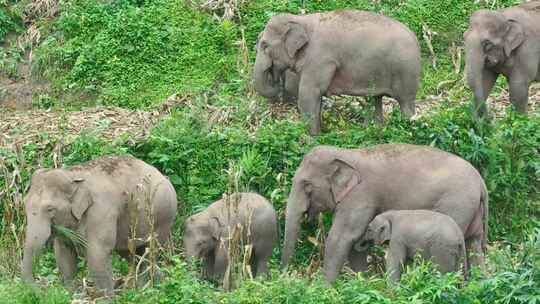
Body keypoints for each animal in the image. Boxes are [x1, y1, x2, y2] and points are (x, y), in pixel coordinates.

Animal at [21, 156, 177, 296]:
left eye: (50, 209)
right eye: (25, 204)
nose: (40, 291)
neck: (72, 175)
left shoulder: (101, 212)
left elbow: (97, 253)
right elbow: (63, 253)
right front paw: (69, 295)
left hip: (163, 215)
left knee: (150, 251)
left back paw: (147, 291)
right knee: (134, 254)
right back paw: (153, 285)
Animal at [253, 9, 422, 134]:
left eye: (265, 45)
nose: (274, 76)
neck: (301, 19)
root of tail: (416, 38)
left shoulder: (320, 58)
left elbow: (309, 93)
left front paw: (311, 139)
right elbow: (316, 98)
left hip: (406, 71)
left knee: (406, 104)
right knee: (376, 99)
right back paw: (375, 130)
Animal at [282, 144, 490, 282]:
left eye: (307, 185)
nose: (285, 276)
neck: (346, 153)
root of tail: (481, 182)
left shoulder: (361, 196)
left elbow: (342, 237)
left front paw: (324, 289)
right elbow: (354, 243)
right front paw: (364, 283)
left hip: (457, 204)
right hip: (473, 212)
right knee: (474, 245)